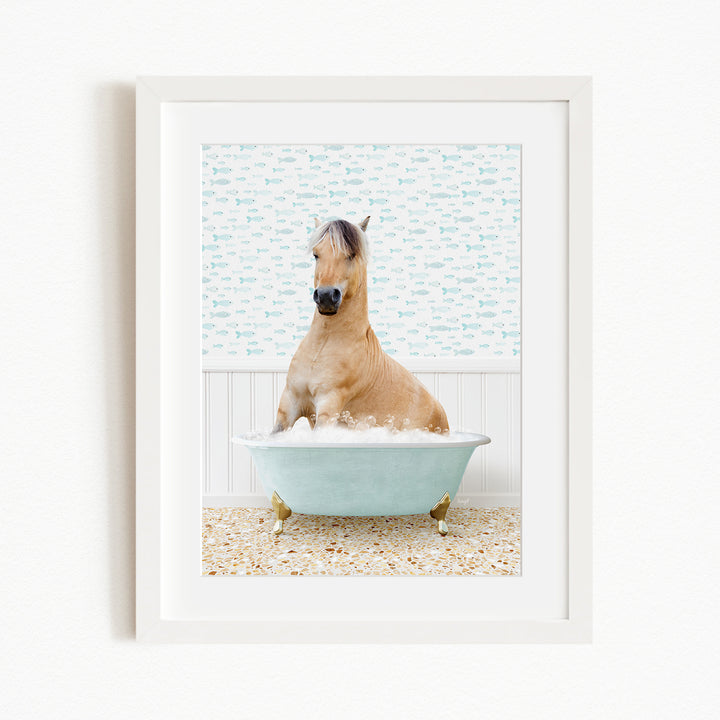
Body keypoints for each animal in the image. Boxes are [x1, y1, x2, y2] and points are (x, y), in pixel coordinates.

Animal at [272, 216, 449, 434]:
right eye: (316, 255)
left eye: (351, 255)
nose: (326, 296)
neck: (322, 346)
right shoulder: (289, 404)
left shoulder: (328, 406)